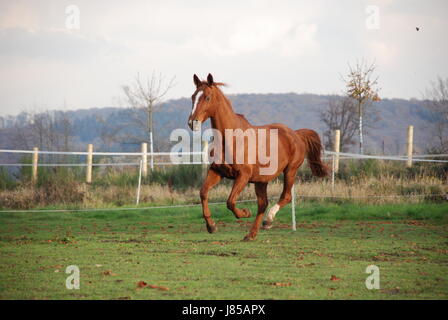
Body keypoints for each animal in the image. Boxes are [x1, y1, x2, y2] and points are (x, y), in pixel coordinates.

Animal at [189, 74, 328, 240]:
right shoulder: (217, 171)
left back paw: (268, 221)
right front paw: (211, 226)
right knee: (263, 203)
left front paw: (244, 213)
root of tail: (296, 134)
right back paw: (251, 234)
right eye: (193, 97)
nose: (193, 122)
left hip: (290, 171)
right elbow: (203, 193)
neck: (231, 139)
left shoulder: (243, 175)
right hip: (261, 180)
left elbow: (230, 201)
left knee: (285, 196)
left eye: (207, 97)